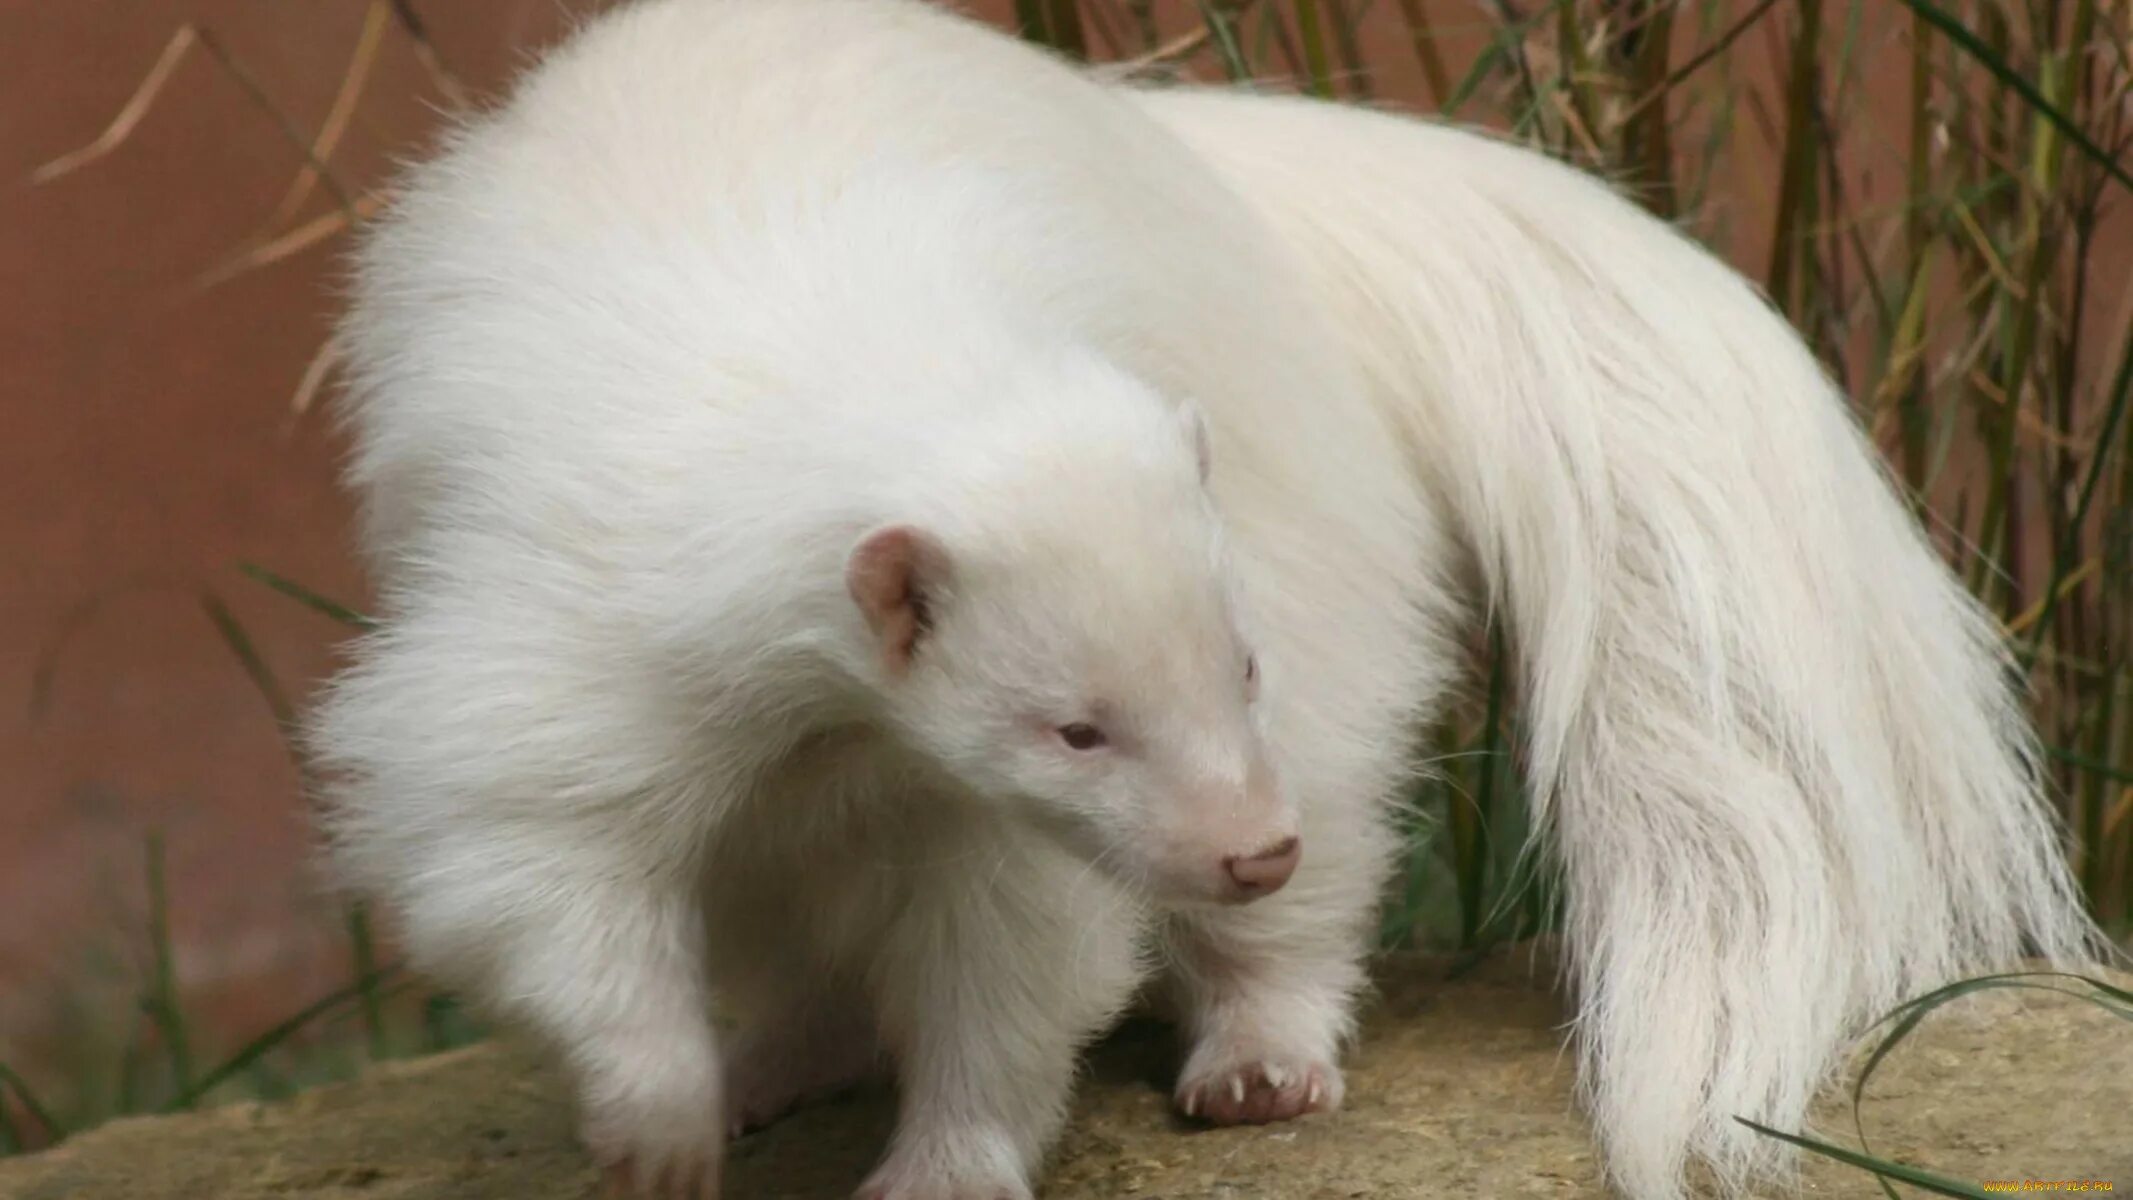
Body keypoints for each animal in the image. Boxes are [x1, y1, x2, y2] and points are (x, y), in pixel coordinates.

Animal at [305, 2, 2098, 1200]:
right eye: (1073, 727)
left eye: (1227, 672)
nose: (1250, 845)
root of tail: (1221, 167)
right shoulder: (581, 631)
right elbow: (531, 857)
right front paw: (662, 1121)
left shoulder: (1082, 748)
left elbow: (1013, 942)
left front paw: (946, 1161)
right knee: (776, 895)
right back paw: (780, 1055)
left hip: (1307, 519)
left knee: (1340, 789)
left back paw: (1259, 1056)